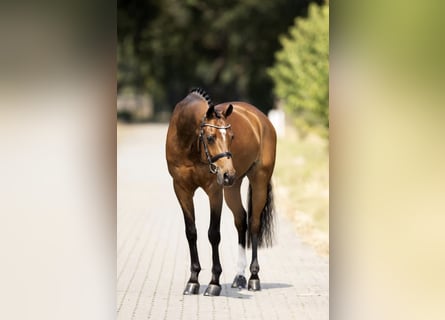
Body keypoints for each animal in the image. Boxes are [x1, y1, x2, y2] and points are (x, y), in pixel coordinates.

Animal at [165, 87, 276, 296]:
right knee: (241, 220)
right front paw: (193, 281)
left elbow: (213, 234)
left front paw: (214, 283)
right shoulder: (181, 189)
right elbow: (191, 232)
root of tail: (260, 118)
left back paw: (253, 278)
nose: (228, 174)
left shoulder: (214, 191)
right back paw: (239, 277)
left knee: (254, 223)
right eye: (210, 137)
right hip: (232, 188)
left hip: (258, 180)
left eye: (232, 137)